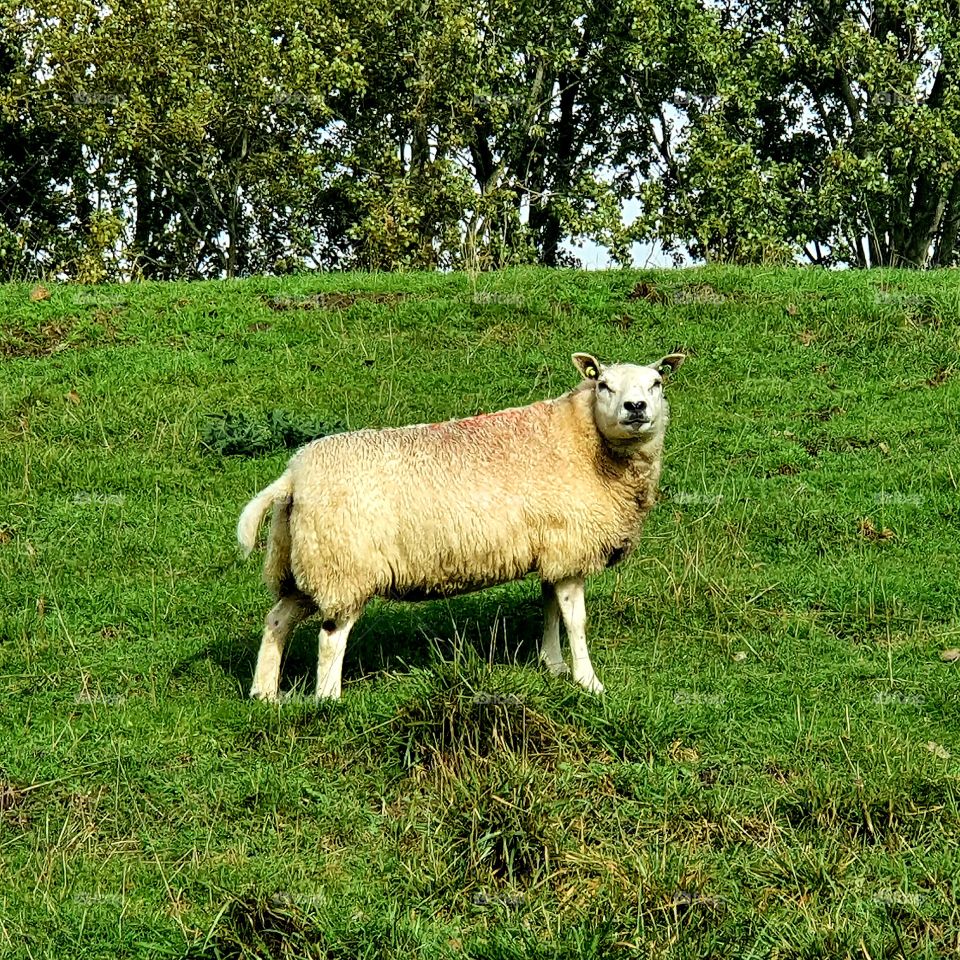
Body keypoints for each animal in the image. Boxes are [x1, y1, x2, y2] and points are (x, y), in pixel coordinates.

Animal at [237, 351, 684, 701]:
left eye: (657, 382)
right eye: (604, 385)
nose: (636, 408)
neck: (586, 442)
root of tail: (293, 476)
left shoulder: (554, 548)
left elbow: (550, 609)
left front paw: (553, 665)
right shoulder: (572, 545)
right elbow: (575, 620)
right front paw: (588, 682)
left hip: (304, 563)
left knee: (276, 621)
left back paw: (265, 695)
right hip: (345, 565)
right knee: (331, 636)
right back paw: (329, 699)